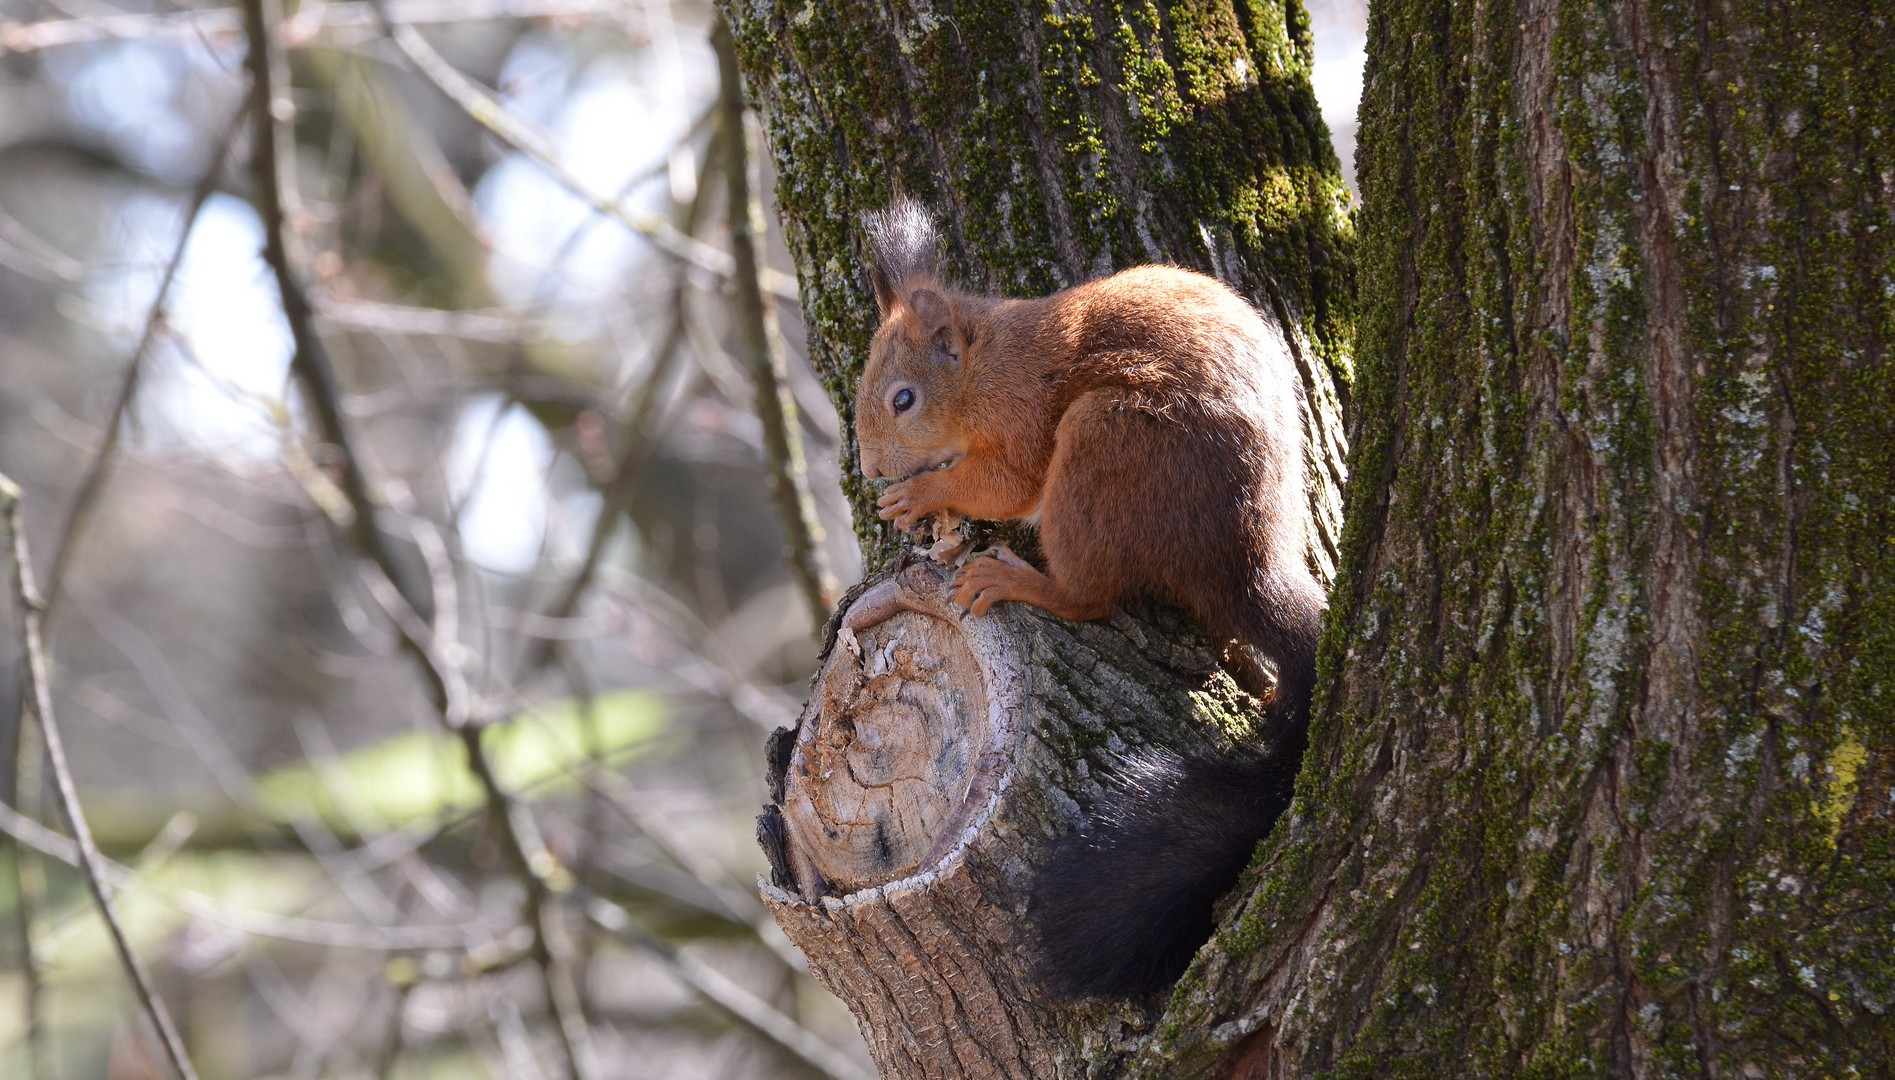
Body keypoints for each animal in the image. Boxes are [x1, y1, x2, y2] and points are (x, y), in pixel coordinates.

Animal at [854, 199, 1328, 998]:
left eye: (903, 400)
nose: (868, 468)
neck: (983, 360)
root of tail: (1244, 560)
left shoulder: (1019, 416)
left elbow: (1004, 484)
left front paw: (921, 492)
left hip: (1104, 445)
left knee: (1089, 597)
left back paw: (1017, 581)